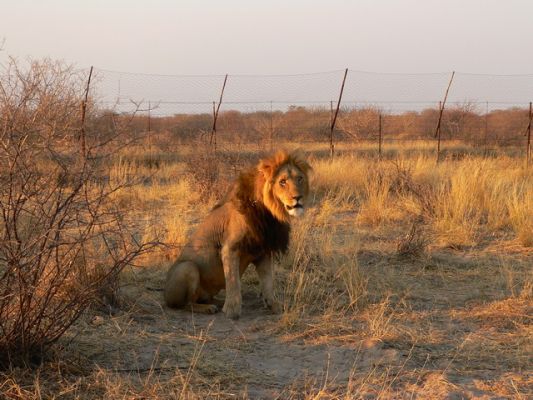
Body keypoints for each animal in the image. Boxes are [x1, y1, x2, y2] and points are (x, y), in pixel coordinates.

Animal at [164, 150, 311, 319]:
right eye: (282, 182)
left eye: (300, 179)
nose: (298, 198)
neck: (269, 214)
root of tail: (164, 294)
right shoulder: (230, 249)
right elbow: (233, 281)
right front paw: (232, 310)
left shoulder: (264, 252)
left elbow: (268, 281)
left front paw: (273, 305)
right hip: (187, 268)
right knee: (186, 304)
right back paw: (209, 308)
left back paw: (217, 302)